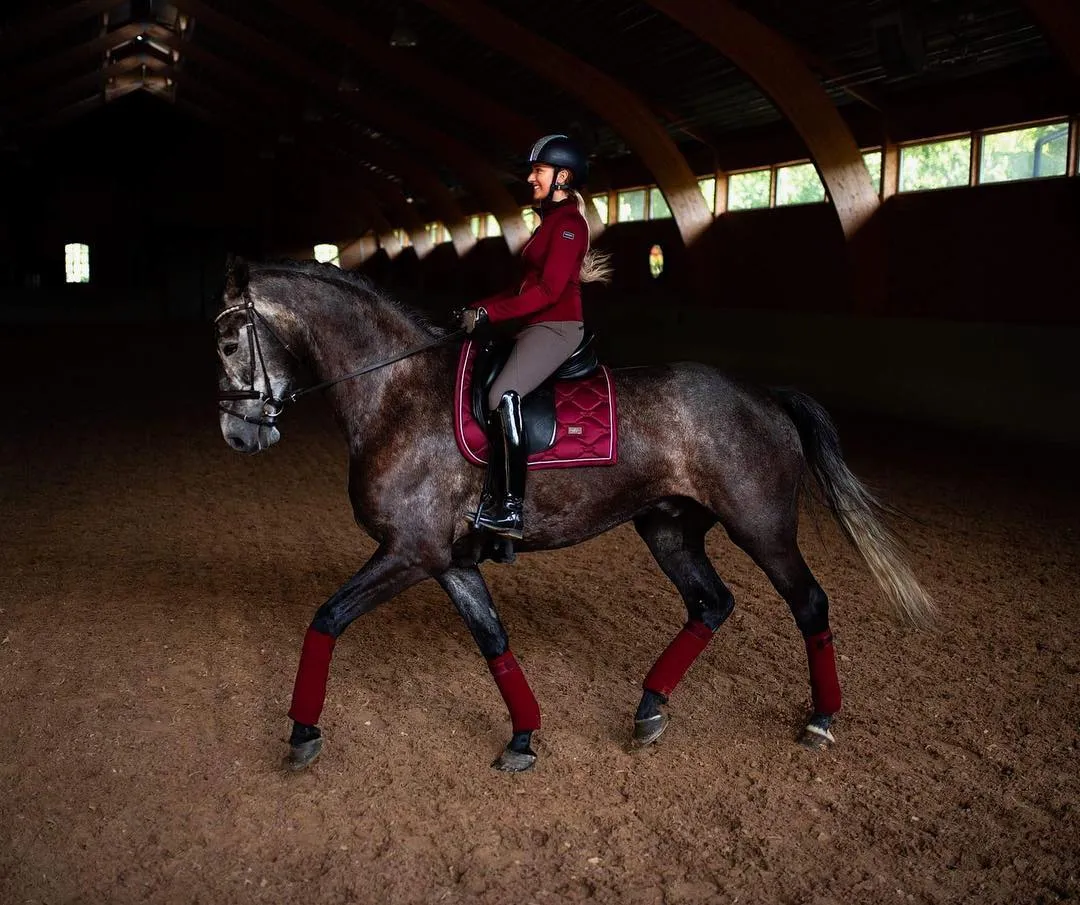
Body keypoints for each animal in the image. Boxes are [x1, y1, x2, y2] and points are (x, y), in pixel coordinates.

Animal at [214, 254, 933, 773]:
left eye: (225, 343)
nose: (237, 435)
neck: (398, 393)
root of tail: (766, 396)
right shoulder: (446, 559)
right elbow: (494, 640)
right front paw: (523, 738)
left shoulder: (407, 552)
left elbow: (327, 618)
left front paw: (302, 733)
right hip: (668, 527)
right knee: (711, 603)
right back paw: (649, 709)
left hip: (762, 527)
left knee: (809, 602)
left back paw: (820, 720)